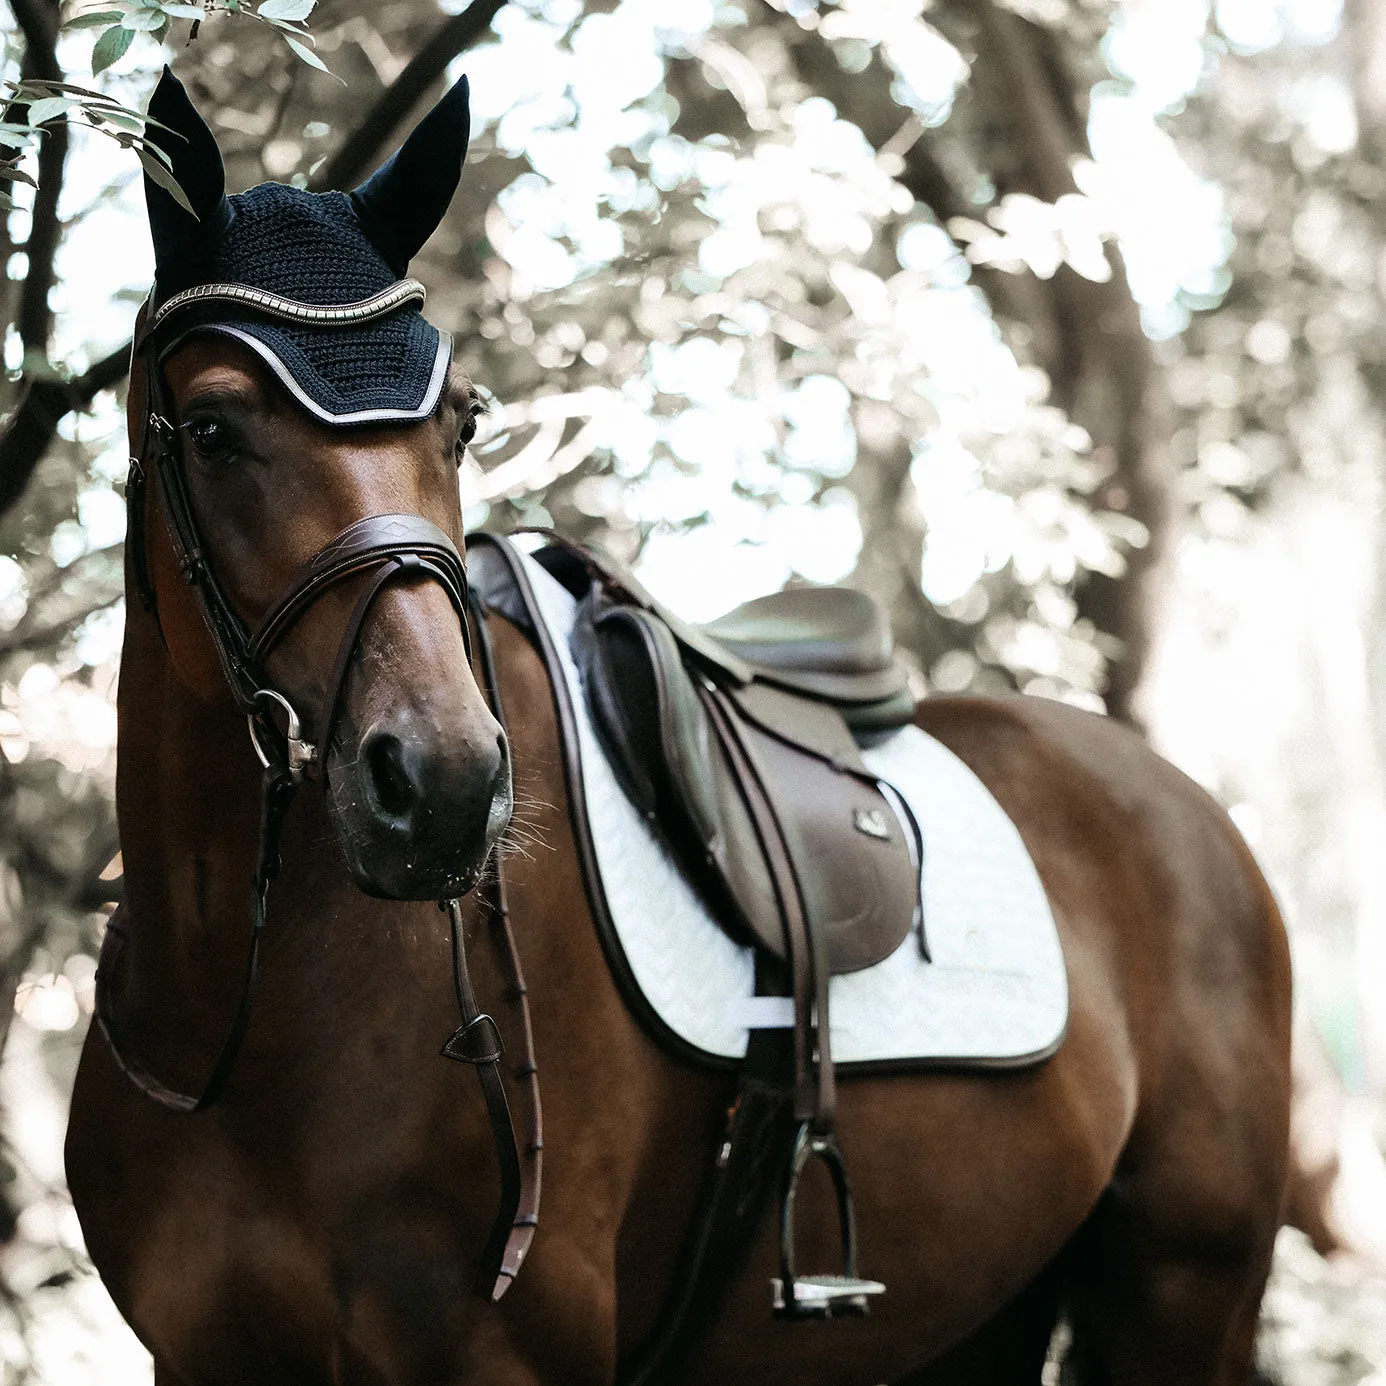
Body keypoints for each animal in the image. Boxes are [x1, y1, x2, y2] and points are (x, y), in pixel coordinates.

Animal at [67, 67, 1297, 1386]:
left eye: (460, 425)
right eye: (212, 430)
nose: (442, 784)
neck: (242, 1021)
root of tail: (1189, 813)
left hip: (1183, 1297)